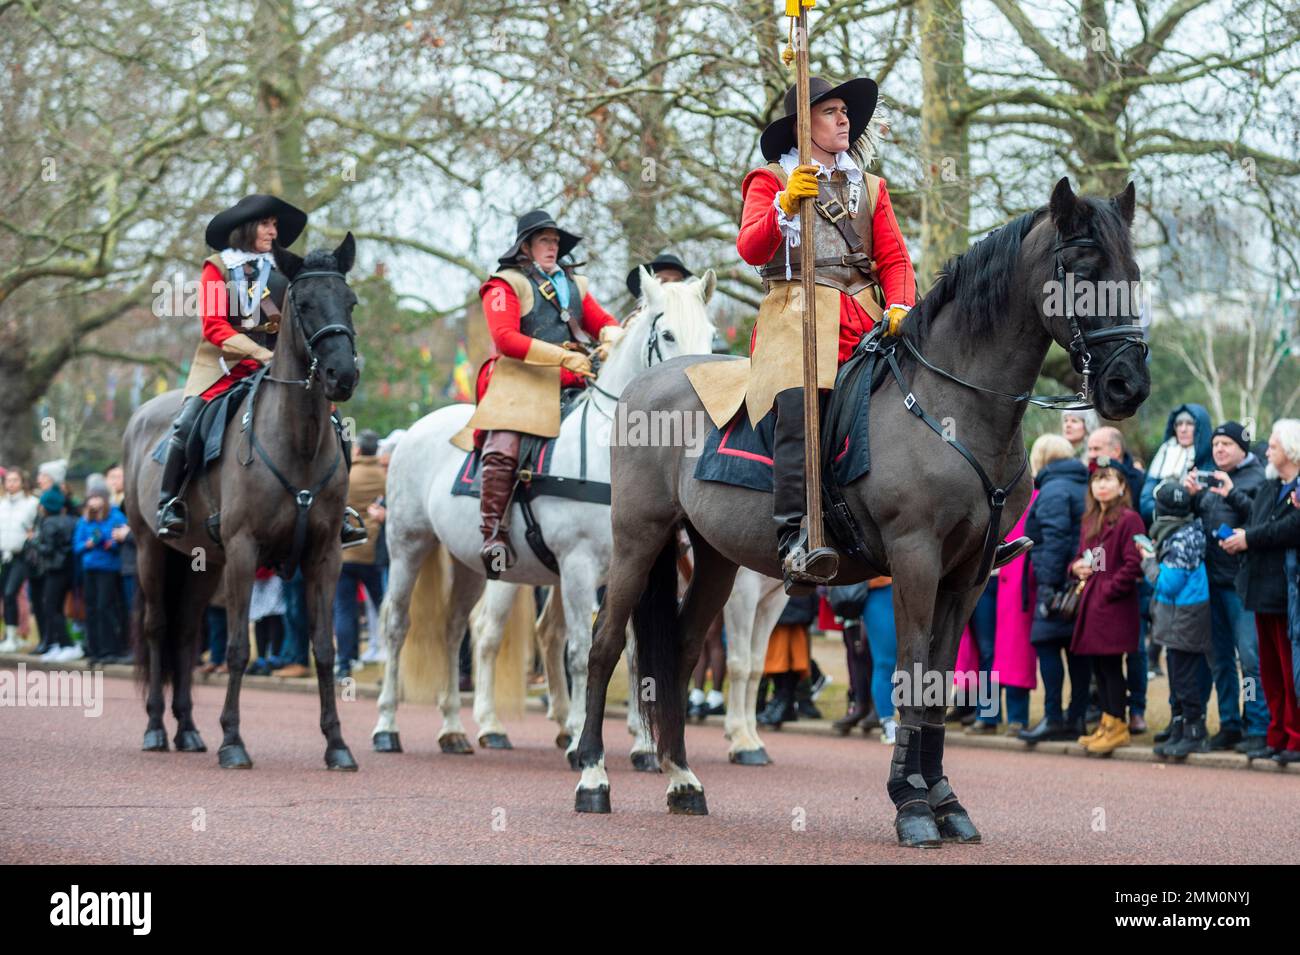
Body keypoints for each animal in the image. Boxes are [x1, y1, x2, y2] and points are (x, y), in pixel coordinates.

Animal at [122, 235, 361, 774]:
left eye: (351, 301)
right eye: (304, 303)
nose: (342, 376)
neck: (298, 441)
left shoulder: (325, 555)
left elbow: (324, 648)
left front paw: (337, 743)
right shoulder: (244, 551)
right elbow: (235, 649)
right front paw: (233, 740)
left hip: (202, 564)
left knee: (186, 634)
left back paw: (188, 730)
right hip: (152, 549)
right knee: (157, 628)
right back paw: (154, 729)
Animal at [374, 268, 722, 764]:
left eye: (712, 335)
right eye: (668, 334)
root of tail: (417, 429)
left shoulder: (635, 567)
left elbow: (636, 653)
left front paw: (640, 744)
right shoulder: (578, 566)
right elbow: (581, 650)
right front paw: (579, 741)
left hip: (472, 566)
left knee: (454, 630)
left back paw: (454, 729)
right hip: (408, 546)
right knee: (399, 627)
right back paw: (389, 727)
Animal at [574, 178, 1154, 841]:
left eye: (1133, 272)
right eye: (1081, 270)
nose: (1128, 385)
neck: (953, 407)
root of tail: (643, 385)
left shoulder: (969, 574)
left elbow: (937, 683)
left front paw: (946, 803)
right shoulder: (915, 559)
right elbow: (910, 674)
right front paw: (913, 805)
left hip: (716, 556)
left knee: (682, 650)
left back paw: (682, 779)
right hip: (637, 538)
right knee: (604, 642)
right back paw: (592, 775)